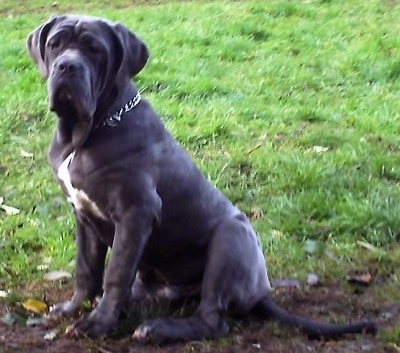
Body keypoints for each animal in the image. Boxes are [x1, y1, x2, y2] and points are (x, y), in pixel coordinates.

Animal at [26, 15, 376, 342]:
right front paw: (73, 308)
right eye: (55, 44)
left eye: (94, 49)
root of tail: (260, 291)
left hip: (230, 238)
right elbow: (86, 268)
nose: (67, 66)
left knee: (212, 319)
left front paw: (98, 323)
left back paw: (159, 329)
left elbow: (116, 272)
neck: (87, 132)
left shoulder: (135, 212)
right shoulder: (83, 215)